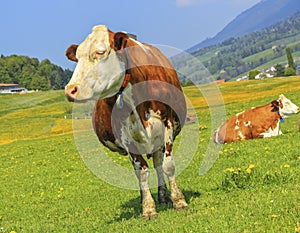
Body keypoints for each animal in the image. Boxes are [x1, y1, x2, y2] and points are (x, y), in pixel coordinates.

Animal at [64, 25, 188, 218]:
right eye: (77, 57)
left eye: (100, 52)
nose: (70, 90)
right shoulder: (124, 135)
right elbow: (142, 171)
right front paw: (148, 208)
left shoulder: (166, 122)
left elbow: (168, 165)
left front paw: (179, 200)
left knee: (158, 164)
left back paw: (164, 195)